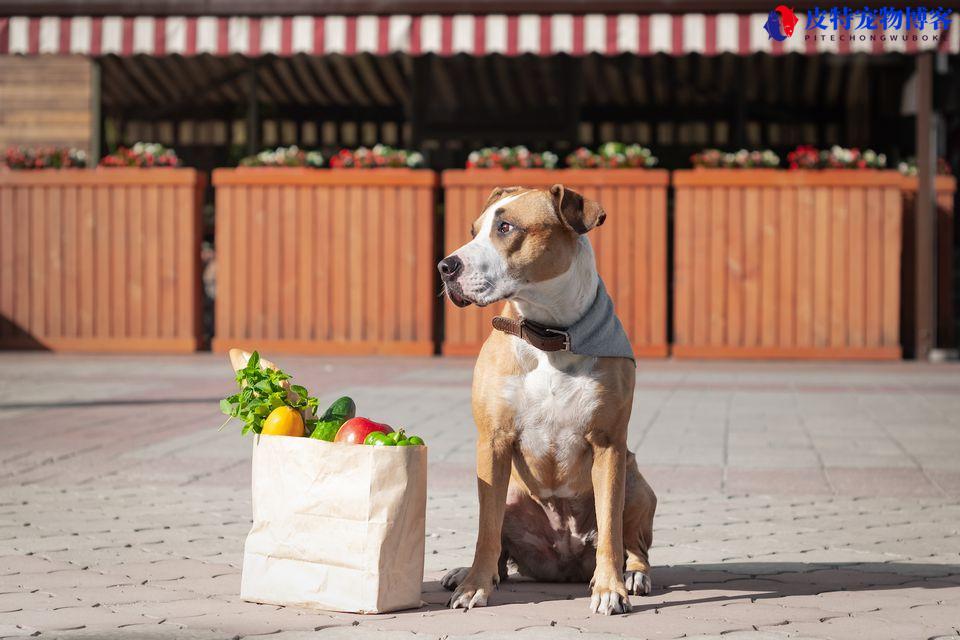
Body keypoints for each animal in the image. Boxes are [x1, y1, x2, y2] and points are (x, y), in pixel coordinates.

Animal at [436, 184, 656, 616]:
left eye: (506, 227)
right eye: (474, 230)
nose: (445, 266)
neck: (549, 334)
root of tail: (561, 563)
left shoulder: (608, 444)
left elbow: (611, 527)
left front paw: (610, 589)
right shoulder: (492, 442)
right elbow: (485, 530)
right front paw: (474, 586)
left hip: (637, 482)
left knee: (634, 543)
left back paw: (634, 575)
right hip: (510, 494)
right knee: (498, 541)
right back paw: (470, 572)